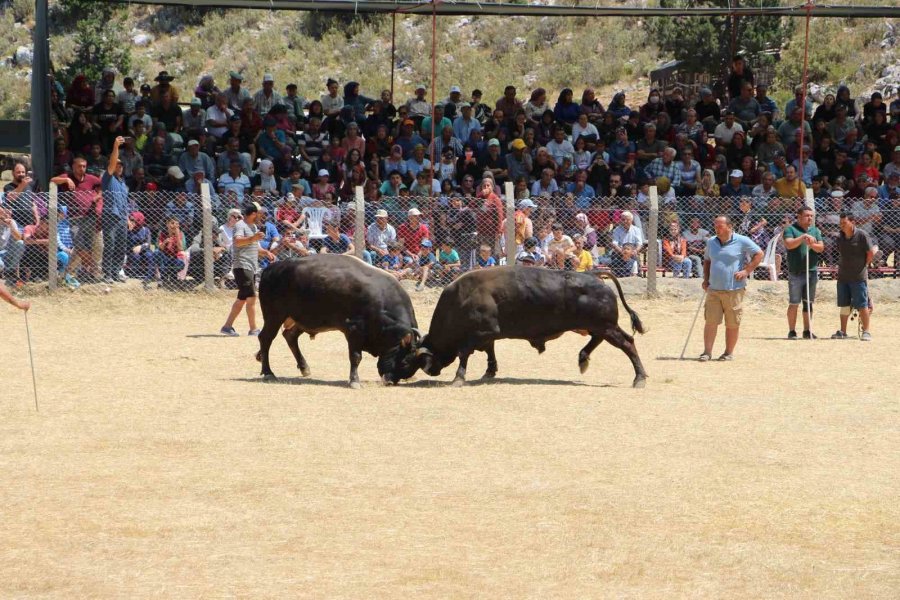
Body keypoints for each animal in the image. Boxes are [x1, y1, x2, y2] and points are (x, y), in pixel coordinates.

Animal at [253, 254, 422, 390]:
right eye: (405, 362)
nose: (390, 381)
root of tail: (270, 269)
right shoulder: (354, 331)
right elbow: (355, 357)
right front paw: (354, 381)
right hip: (274, 316)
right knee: (265, 338)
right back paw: (268, 372)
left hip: (299, 319)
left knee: (290, 336)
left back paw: (304, 367)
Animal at [414, 268, 648, 390]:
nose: (430, 371)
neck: (461, 298)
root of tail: (596, 276)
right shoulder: (488, 335)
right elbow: (490, 351)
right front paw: (489, 372)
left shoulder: (481, 333)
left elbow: (464, 354)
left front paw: (458, 378)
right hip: (599, 327)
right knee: (599, 341)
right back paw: (583, 359)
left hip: (606, 327)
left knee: (628, 343)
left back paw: (639, 379)